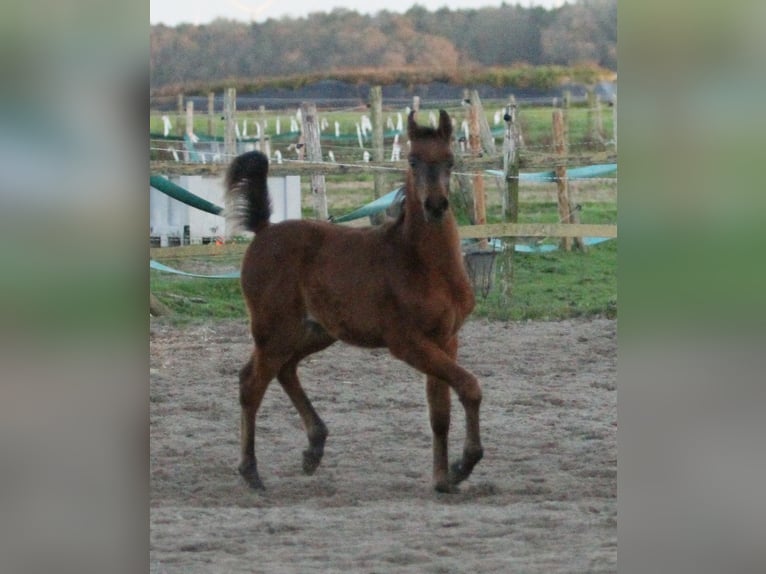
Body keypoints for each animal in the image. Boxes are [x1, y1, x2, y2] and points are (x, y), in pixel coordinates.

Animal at [225, 109, 484, 496]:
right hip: (275, 331)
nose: (436, 206)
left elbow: (440, 413)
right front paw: (463, 465)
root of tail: (264, 231)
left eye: (450, 160)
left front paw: (443, 479)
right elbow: (469, 387)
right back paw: (251, 470)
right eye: (412, 160)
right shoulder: (408, 343)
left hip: (315, 332)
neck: (422, 262)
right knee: (252, 384)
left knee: (284, 370)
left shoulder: (446, 340)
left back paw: (314, 448)